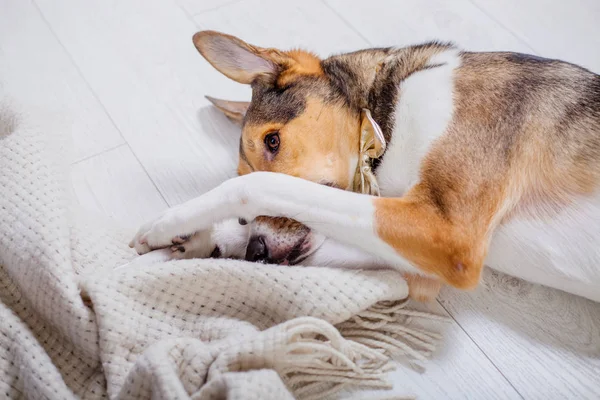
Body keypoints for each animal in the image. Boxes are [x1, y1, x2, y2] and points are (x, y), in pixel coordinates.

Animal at [127, 30, 600, 300]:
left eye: (273, 141)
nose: (258, 251)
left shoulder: (447, 233)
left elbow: (265, 188)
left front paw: (170, 223)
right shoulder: (425, 261)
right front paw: (197, 242)